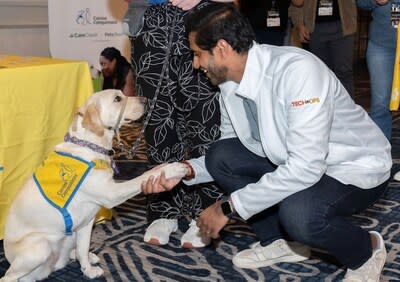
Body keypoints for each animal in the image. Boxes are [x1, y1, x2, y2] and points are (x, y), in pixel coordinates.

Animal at [0, 89, 188, 280]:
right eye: (117, 98)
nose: (147, 100)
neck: (89, 145)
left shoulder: (87, 222)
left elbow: (83, 249)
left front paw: (88, 270)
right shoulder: (112, 193)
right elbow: (144, 176)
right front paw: (172, 169)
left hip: (71, 235)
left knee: (74, 252)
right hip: (41, 248)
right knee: (8, 276)